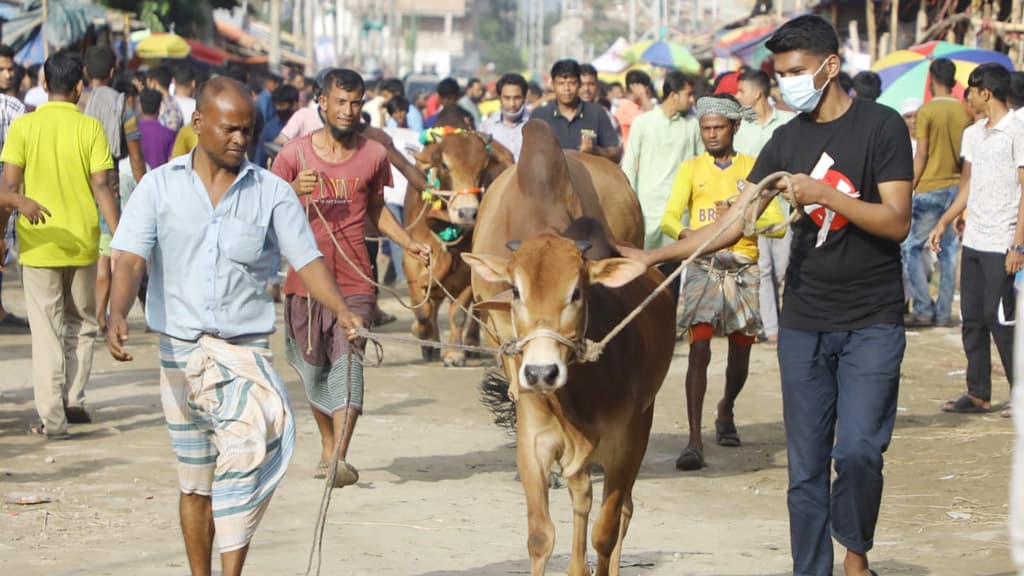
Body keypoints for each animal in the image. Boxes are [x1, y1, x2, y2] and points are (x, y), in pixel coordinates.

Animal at [399, 130, 512, 362]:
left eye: (483, 167)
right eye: (444, 164)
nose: (468, 212)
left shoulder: (468, 271)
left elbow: (457, 313)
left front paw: (454, 353)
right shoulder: (412, 261)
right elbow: (423, 311)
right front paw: (425, 336)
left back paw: (471, 343)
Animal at [462, 118, 671, 569]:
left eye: (577, 292)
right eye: (516, 291)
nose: (541, 372)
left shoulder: (624, 447)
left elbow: (606, 533)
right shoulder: (535, 446)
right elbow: (541, 536)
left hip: (641, 429)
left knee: (623, 512)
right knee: (581, 497)